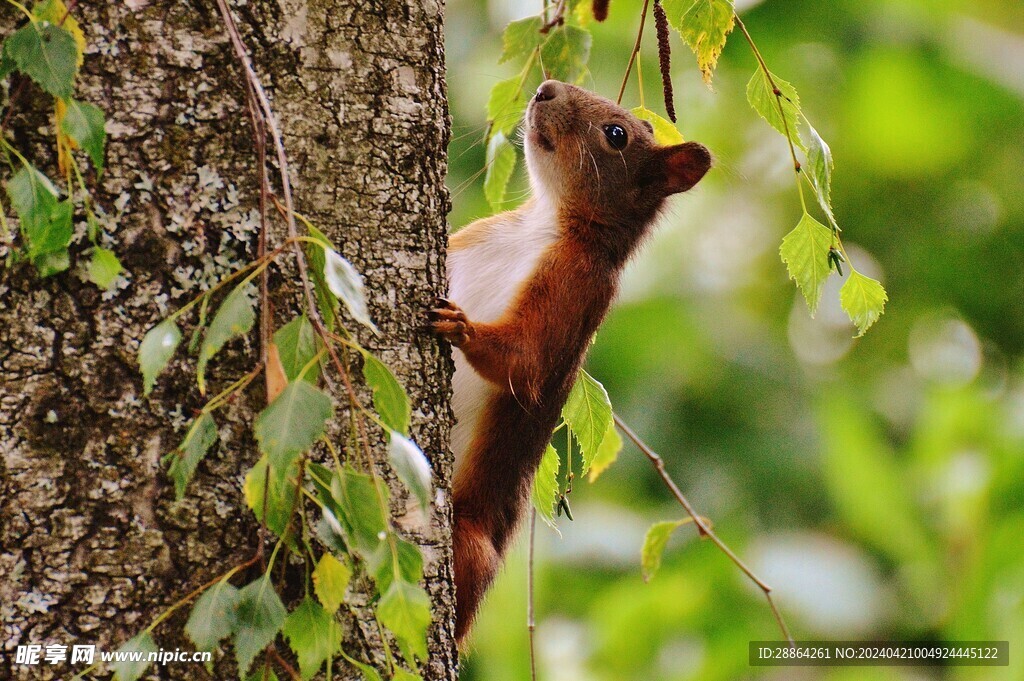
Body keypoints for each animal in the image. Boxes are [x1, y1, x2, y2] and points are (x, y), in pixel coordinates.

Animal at [428, 79, 708, 643]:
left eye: (617, 135)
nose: (545, 88)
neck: (543, 222)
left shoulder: (578, 289)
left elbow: (524, 362)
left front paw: (462, 327)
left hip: (468, 543)